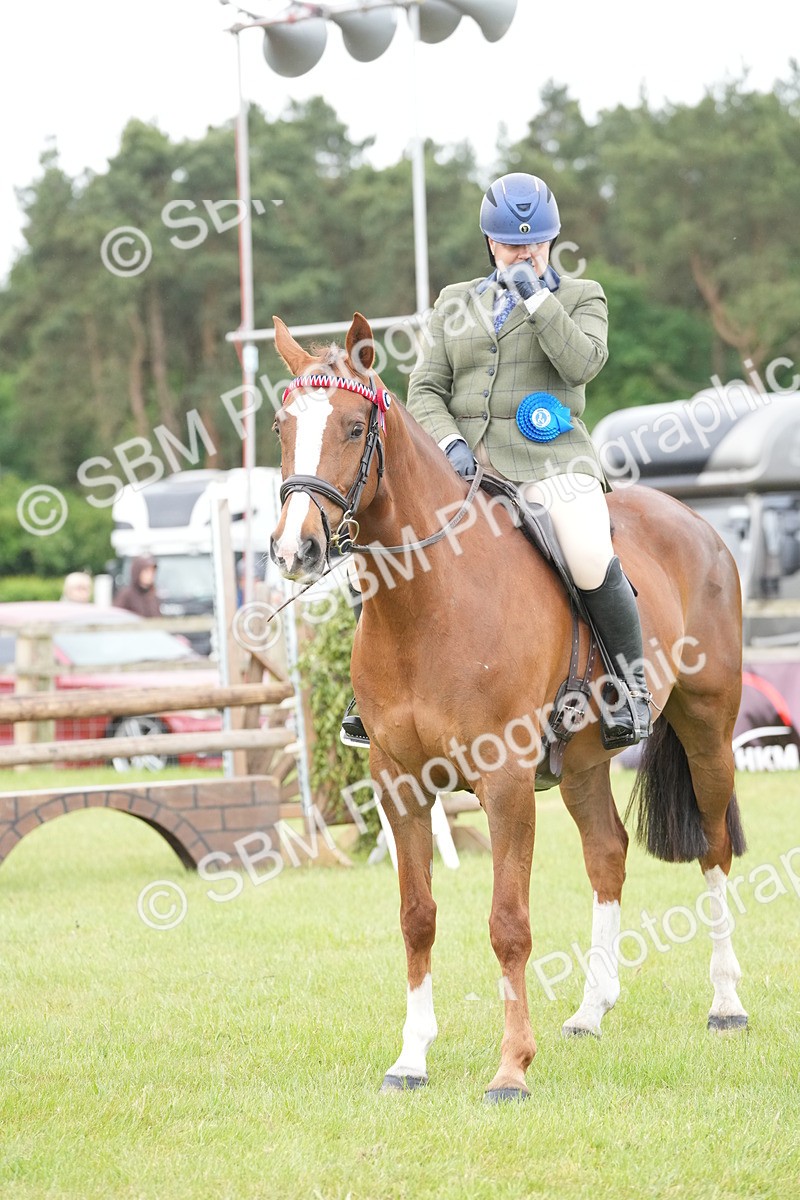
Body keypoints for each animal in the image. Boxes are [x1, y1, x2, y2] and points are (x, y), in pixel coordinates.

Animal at [268, 311, 747, 1103]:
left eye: (352, 427)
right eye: (281, 425)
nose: (294, 549)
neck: (427, 601)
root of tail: (697, 524)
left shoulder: (505, 782)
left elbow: (508, 924)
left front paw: (511, 1069)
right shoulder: (398, 783)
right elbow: (417, 917)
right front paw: (411, 1059)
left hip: (707, 725)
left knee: (712, 847)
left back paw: (727, 1003)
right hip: (582, 764)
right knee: (607, 853)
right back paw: (590, 1010)